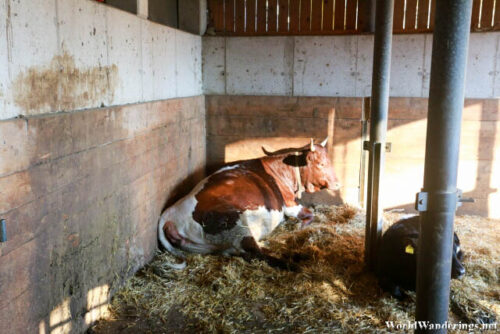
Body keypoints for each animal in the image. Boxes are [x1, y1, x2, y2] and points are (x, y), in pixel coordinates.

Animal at [158, 137, 342, 270]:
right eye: (321, 164)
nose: (338, 184)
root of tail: (169, 214)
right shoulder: (289, 204)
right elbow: (310, 214)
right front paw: (300, 227)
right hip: (236, 224)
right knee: (257, 252)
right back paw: (292, 262)